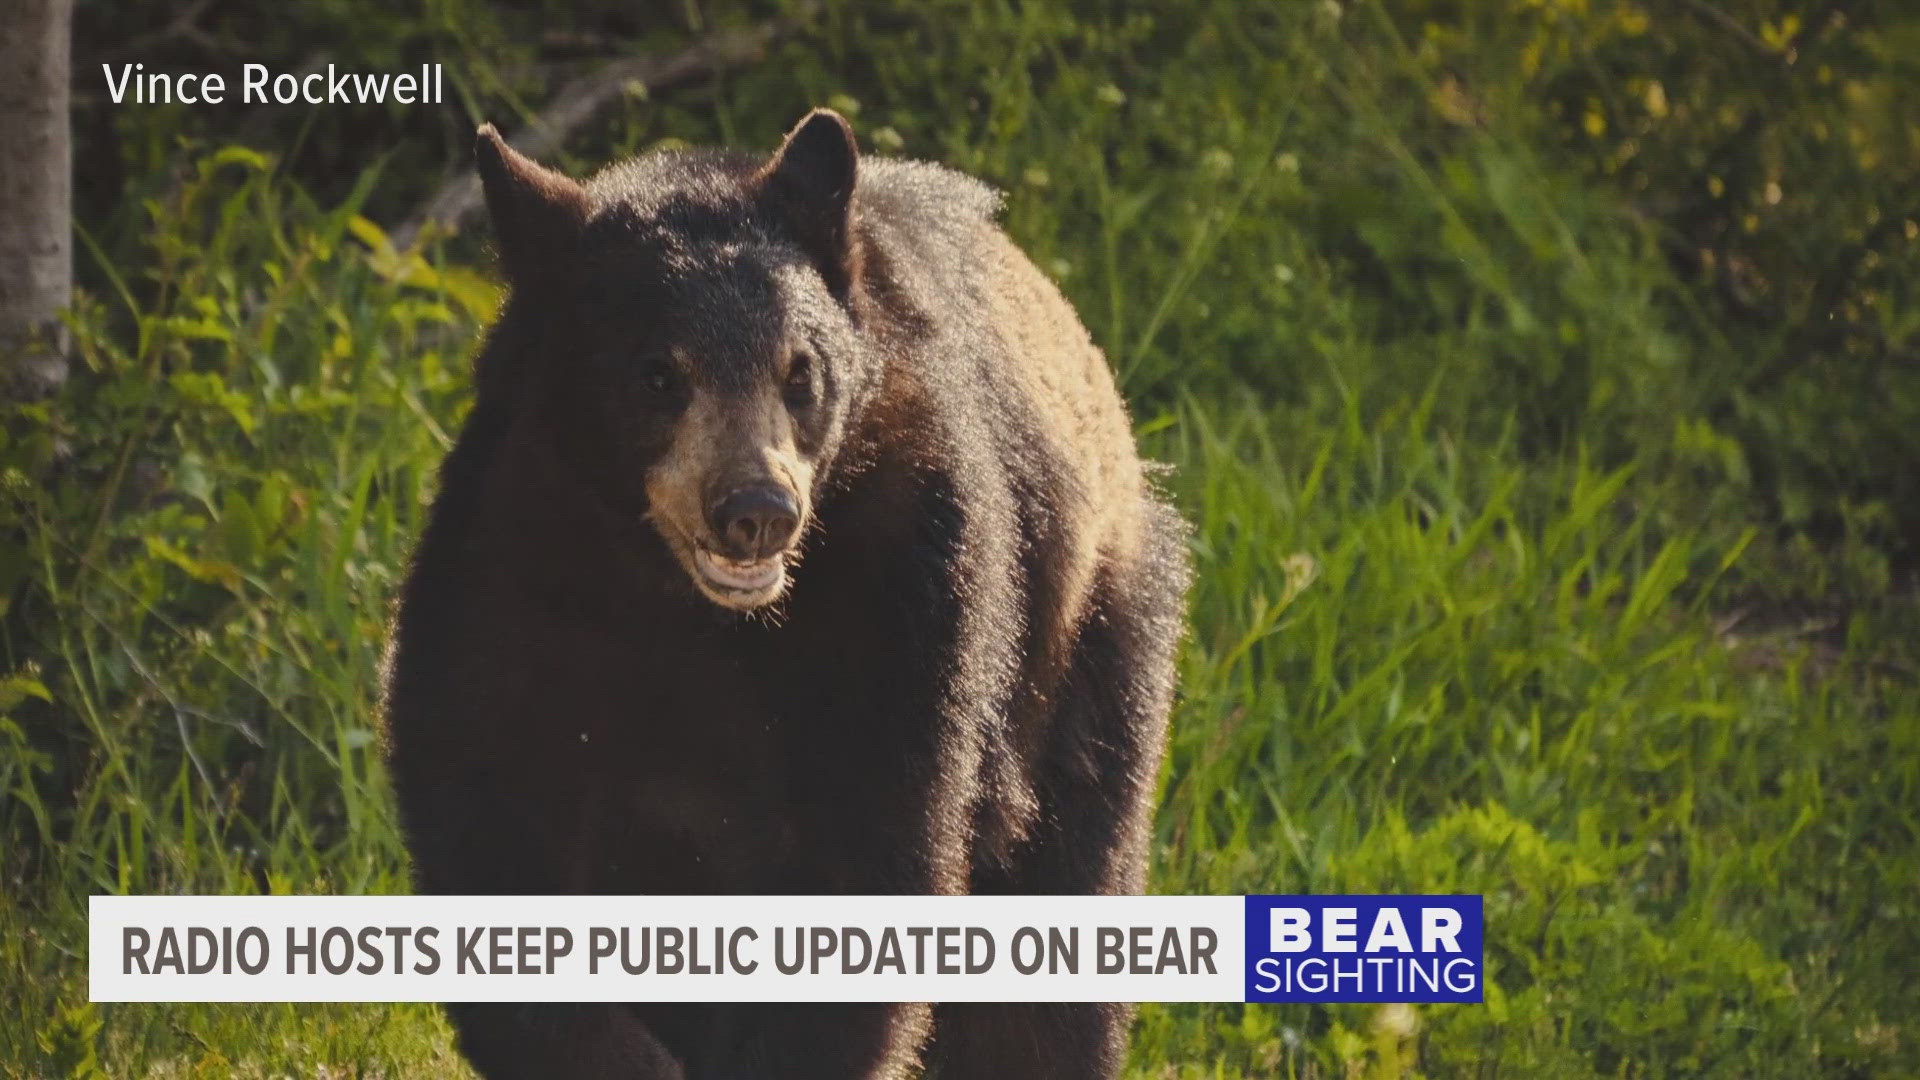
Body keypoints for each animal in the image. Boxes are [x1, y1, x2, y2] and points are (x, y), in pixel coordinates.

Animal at [381, 108, 1191, 1079]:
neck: (683, 605)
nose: (756, 511)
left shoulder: (906, 585)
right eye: (659, 373)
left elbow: (867, 849)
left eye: (800, 371)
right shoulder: (514, 554)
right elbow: (493, 803)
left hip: (1084, 660)